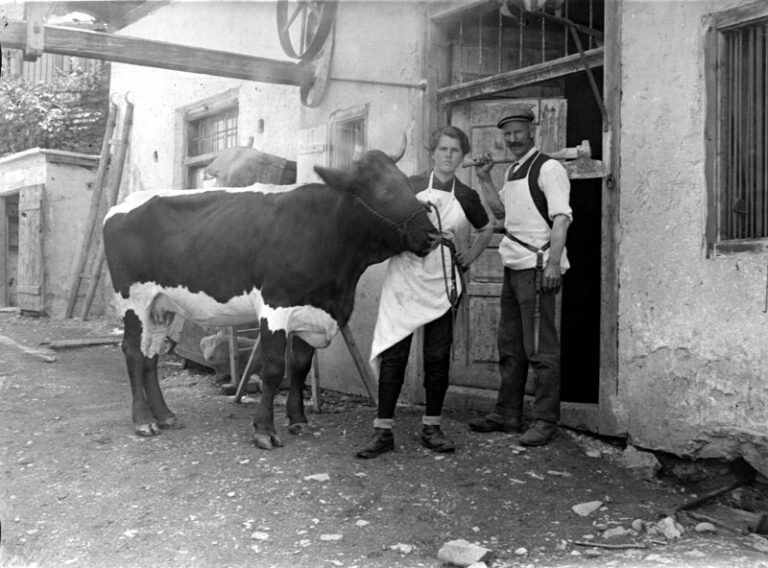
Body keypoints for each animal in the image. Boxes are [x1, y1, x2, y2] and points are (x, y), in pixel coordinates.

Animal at [103, 150, 438, 448]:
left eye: (407, 183)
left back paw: (164, 415)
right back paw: (143, 421)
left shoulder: (310, 310)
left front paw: (298, 420)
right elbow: (275, 368)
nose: (432, 235)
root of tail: (123, 204)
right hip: (134, 301)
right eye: (382, 190)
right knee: (133, 352)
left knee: (150, 355)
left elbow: (300, 366)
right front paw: (264, 430)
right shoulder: (276, 305)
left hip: (160, 305)